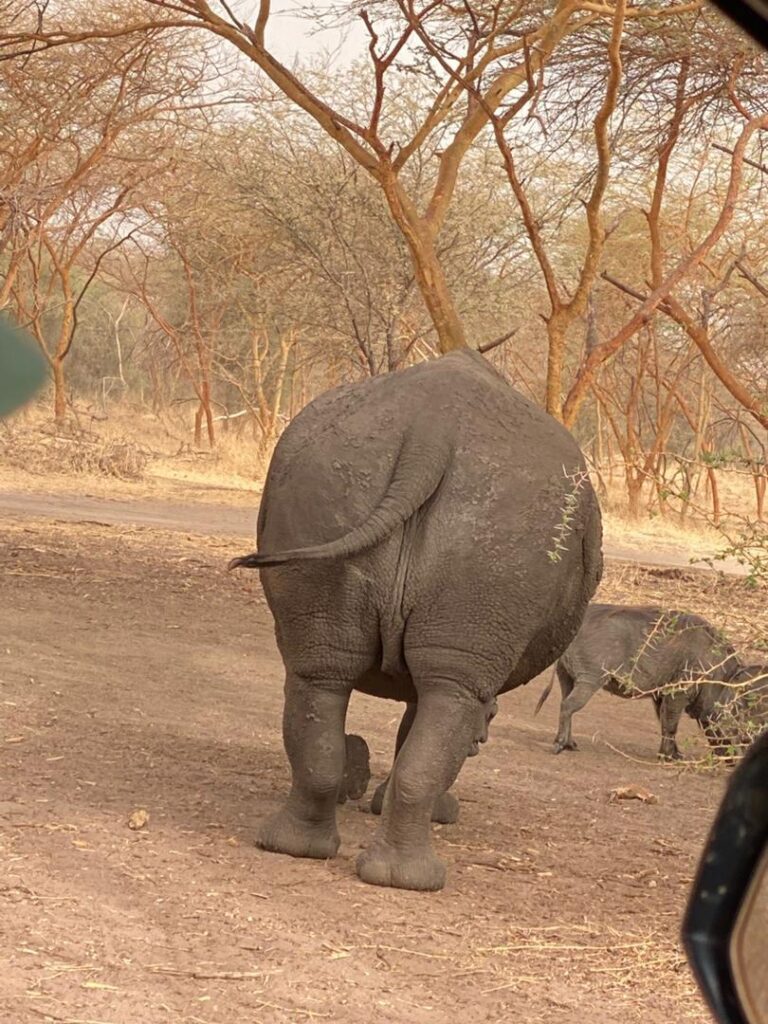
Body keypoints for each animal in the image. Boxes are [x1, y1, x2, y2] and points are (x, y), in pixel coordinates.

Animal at [229, 348, 602, 891]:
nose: (483, 741)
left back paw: (296, 848)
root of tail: (432, 430)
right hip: (503, 521)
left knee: (320, 673)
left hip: (333, 481)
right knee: (450, 695)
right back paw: (415, 880)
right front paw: (441, 811)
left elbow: (410, 719)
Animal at [535, 603, 743, 760]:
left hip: (566, 675)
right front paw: (670, 757)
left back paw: (571, 745)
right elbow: (671, 724)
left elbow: (663, 722)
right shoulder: (678, 692)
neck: (718, 674)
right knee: (568, 706)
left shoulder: (661, 695)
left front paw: (671, 754)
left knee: (565, 703)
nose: (734, 760)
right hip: (590, 678)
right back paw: (560, 745)